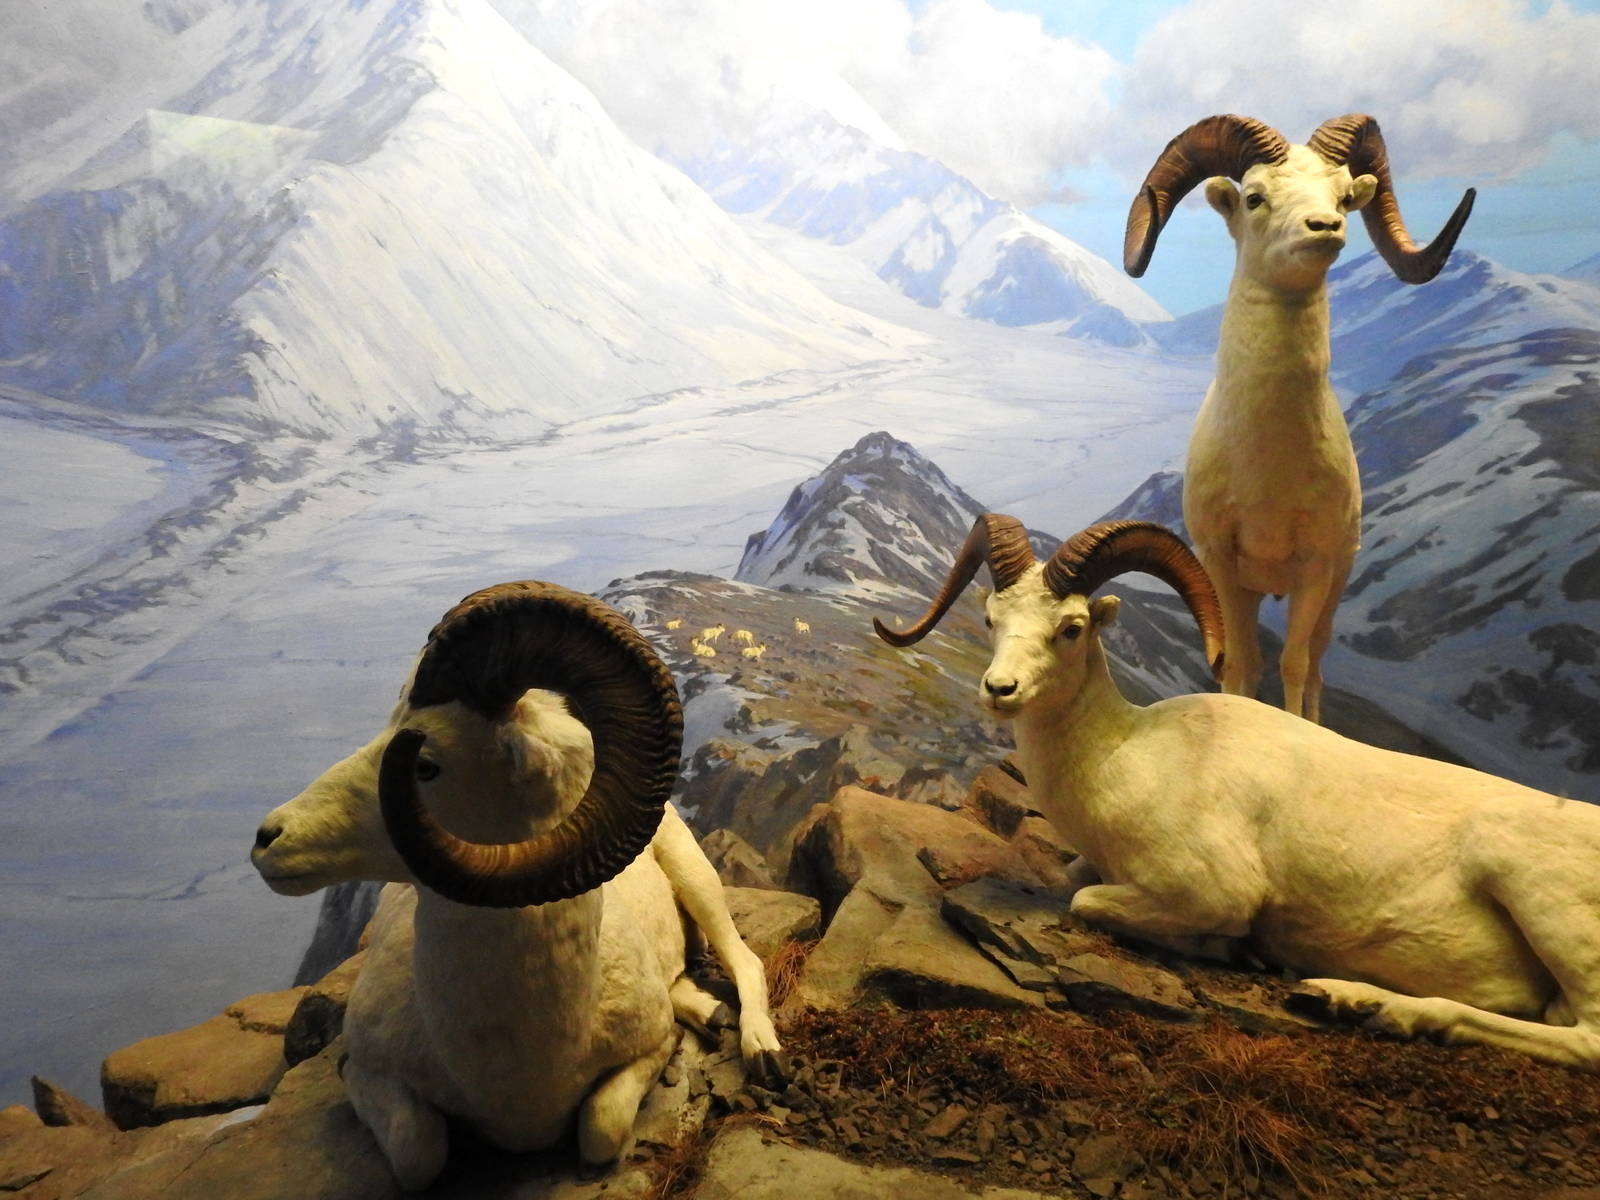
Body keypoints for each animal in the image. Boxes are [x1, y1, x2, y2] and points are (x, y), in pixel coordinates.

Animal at [251, 582, 783, 1188]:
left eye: (425, 764)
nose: (269, 839)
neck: (513, 1065)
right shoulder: (365, 1068)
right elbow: (417, 1153)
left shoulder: (637, 1060)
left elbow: (600, 1129)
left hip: (698, 881)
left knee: (745, 960)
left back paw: (760, 1049)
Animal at [874, 515, 1600, 1070]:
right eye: (991, 618)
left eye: (1072, 628)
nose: (1000, 691)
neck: (1128, 756)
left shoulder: (1210, 890)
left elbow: (1085, 900)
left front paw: (1235, 949)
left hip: (1537, 890)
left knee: (1585, 1038)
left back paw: (1366, 1005)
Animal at [1125, 113, 1474, 722]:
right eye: (1255, 197)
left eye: (1344, 195)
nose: (1325, 227)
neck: (1268, 469)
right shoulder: (1221, 567)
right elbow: (1241, 666)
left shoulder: (1315, 567)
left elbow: (1291, 667)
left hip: (1333, 588)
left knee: (1313, 669)